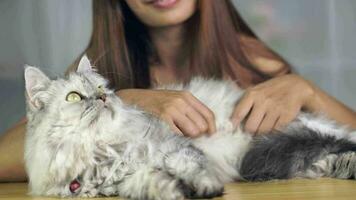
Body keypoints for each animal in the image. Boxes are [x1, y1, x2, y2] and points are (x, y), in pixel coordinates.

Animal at [23, 55, 356, 199]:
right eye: (75, 97)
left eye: (103, 88)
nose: (103, 98)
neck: (104, 149)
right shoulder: (129, 180)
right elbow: (155, 185)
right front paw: (177, 192)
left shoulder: (178, 148)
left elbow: (191, 168)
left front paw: (204, 188)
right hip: (300, 158)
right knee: (333, 160)